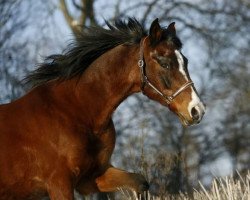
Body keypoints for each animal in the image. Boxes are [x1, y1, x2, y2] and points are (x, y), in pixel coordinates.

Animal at [0, 18, 205, 199]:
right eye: (164, 63)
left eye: (185, 61)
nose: (197, 110)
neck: (77, 110)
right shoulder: (59, 184)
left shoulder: (92, 177)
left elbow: (140, 182)